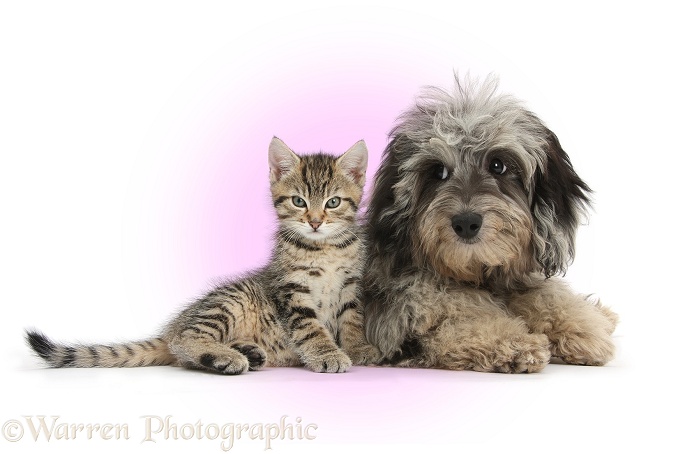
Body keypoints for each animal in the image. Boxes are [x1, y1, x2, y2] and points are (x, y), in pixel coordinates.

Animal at [27, 137, 380, 374]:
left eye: (333, 202)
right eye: (298, 201)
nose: (315, 221)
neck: (325, 249)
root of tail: (170, 328)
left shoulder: (351, 286)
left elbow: (351, 319)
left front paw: (358, 347)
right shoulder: (291, 291)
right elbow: (310, 327)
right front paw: (327, 354)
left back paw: (246, 352)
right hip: (230, 300)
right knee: (185, 342)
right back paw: (226, 357)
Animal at [364, 74, 616, 372]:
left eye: (498, 165)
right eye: (438, 171)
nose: (466, 222)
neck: (477, 274)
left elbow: (545, 293)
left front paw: (586, 324)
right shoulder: (404, 316)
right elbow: (467, 320)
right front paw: (516, 342)